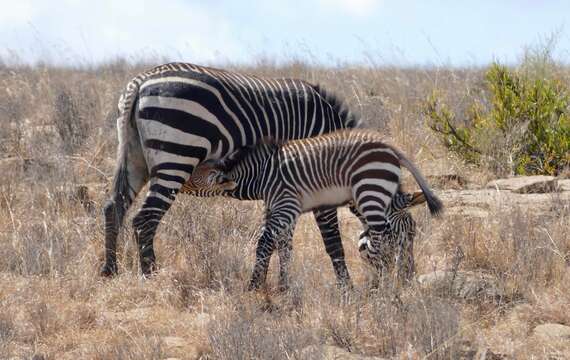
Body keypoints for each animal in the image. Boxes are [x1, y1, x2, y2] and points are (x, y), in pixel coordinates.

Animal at [101, 62, 360, 278]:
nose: (373, 287)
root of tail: (141, 82)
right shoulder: (314, 180)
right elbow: (331, 240)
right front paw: (346, 289)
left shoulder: (281, 186)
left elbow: (281, 240)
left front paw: (279, 286)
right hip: (176, 156)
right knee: (145, 219)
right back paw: (150, 275)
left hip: (135, 157)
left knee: (113, 208)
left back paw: (110, 270)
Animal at [181, 129, 440, 290]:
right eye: (409, 234)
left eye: (192, 178)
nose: (409, 277)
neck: (262, 175)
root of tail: (391, 148)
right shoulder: (279, 209)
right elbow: (283, 247)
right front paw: (282, 288)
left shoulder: (285, 205)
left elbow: (265, 244)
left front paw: (254, 287)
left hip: (370, 190)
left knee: (381, 238)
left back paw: (386, 289)